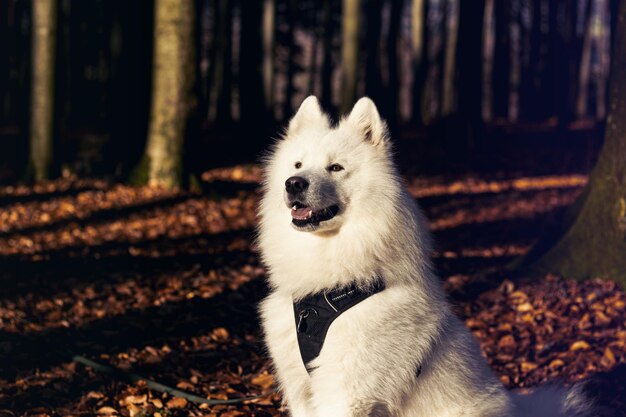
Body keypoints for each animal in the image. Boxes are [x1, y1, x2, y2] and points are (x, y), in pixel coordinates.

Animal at [254, 96, 588, 414]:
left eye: (335, 167)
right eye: (297, 165)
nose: (294, 184)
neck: (327, 291)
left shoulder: (348, 394)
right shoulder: (301, 392)